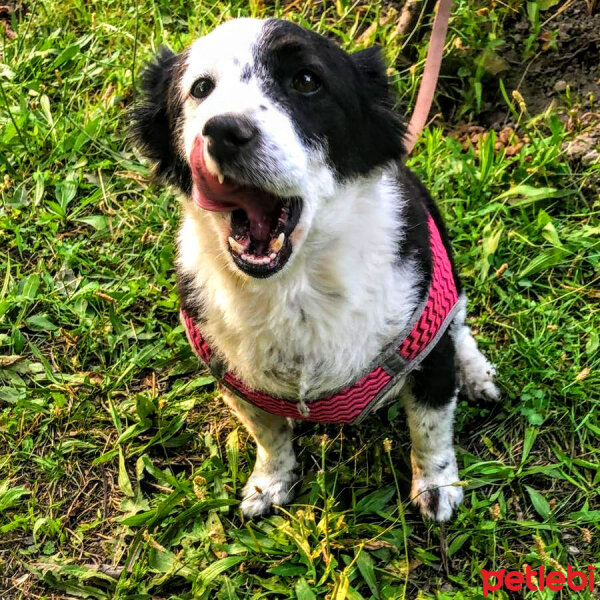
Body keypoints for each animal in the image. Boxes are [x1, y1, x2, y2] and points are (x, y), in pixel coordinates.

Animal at [132, 17, 502, 520]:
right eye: (201, 88)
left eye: (306, 81)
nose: (223, 131)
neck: (296, 288)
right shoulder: (237, 382)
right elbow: (269, 436)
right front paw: (270, 483)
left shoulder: (427, 351)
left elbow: (430, 428)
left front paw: (437, 485)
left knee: (460, 323)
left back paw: (477, 373)